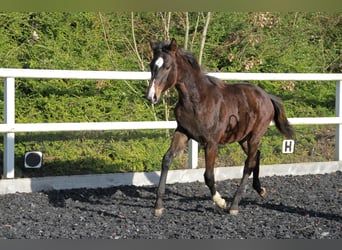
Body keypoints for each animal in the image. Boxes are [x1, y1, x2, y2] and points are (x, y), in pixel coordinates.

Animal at [146, 39, 294, 217]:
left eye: (167, 66)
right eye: (151, 65)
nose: (151, 97)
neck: (197, 101)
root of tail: (267, 97)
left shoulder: (211, 143)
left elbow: (208, 175)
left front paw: (221, 201)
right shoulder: (182, 132)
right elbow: (167, 160)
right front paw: (158, 206)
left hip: (255, 136)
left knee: (248, 165)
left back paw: (234, 205)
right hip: (243, 138)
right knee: (256, 157)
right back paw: (260, 190)